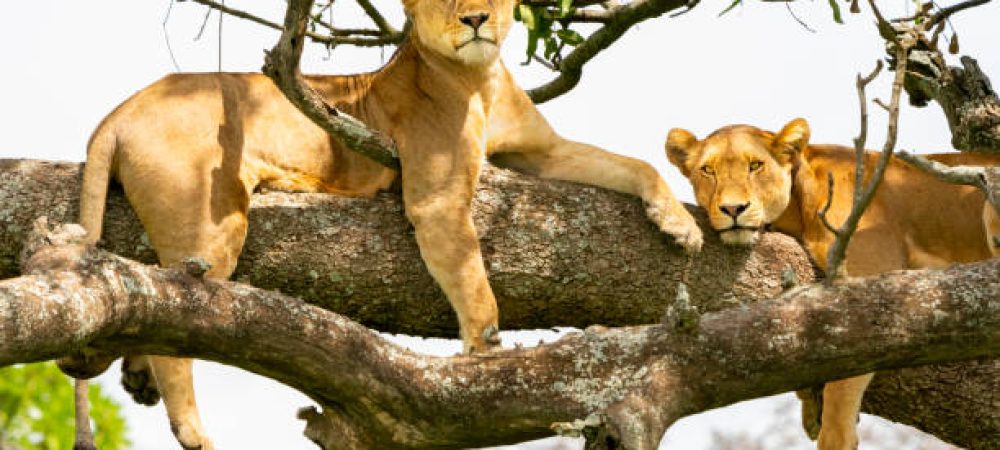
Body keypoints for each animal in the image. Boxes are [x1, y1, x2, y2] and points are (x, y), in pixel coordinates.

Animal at [68, 0, 702, 447]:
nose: (476, 19)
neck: (481, 78)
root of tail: (119, 112)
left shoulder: (544, 151)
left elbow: (632, 163)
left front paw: (680, 225)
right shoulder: (436, 199)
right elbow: (476, 287)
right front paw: (487, 358)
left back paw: (139, 378)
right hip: (211, 222)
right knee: (177, 320)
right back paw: (192, 429)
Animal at [665, 118, 998, 450]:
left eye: (755, 165)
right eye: (708, 170)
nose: (733, 209)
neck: (800, 206)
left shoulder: (866, 280)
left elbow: (842, 388)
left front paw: (833, 433)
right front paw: (810, 406)